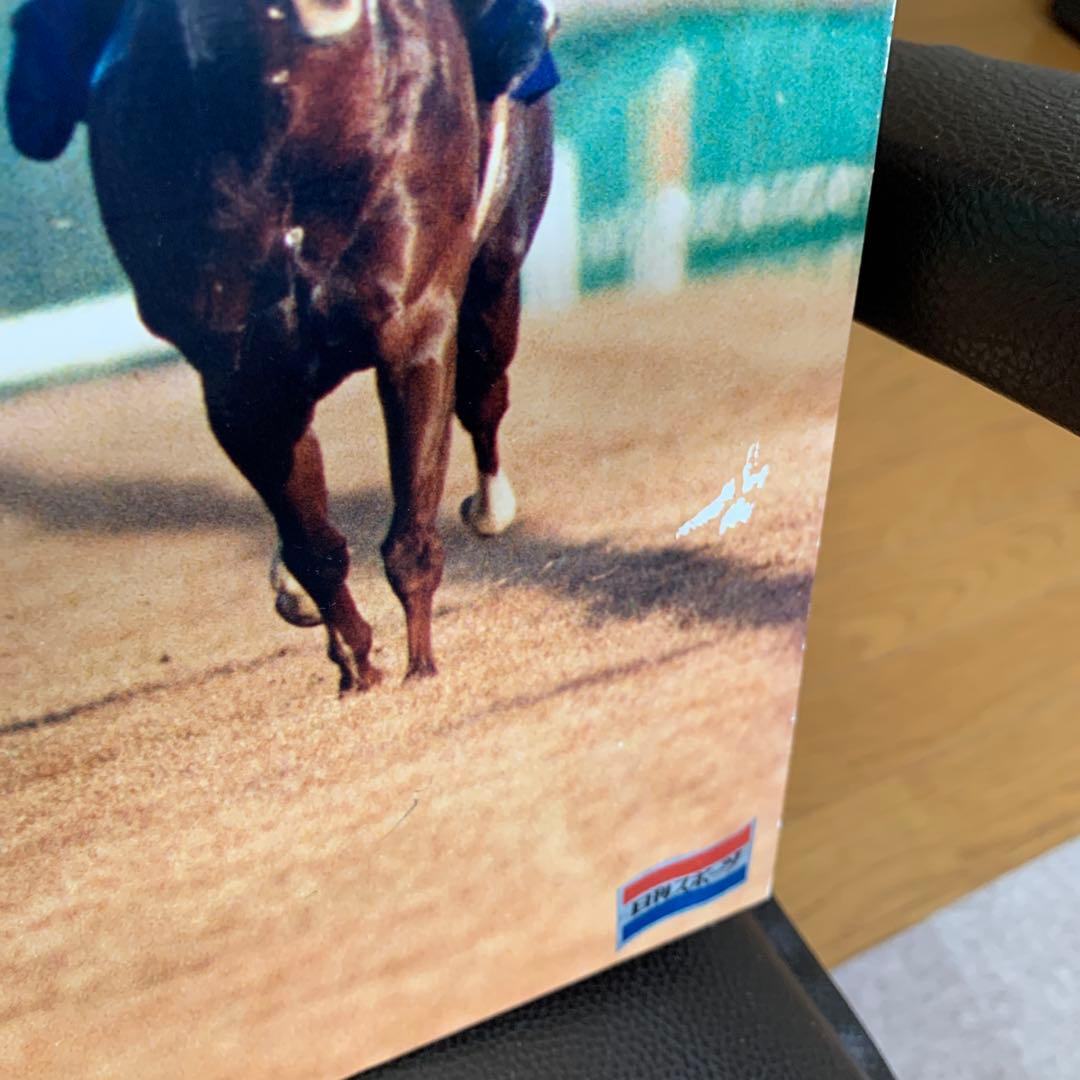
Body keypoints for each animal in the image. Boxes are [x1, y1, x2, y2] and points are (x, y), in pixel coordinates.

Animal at [85, 0, 553, 691]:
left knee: (484, 395)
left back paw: (489, 506)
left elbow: (411, 533)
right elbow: (313, 544)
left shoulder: (416, 328)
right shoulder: (241, 389)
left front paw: (420, 666)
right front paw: (356, 659)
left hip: (496, 276)